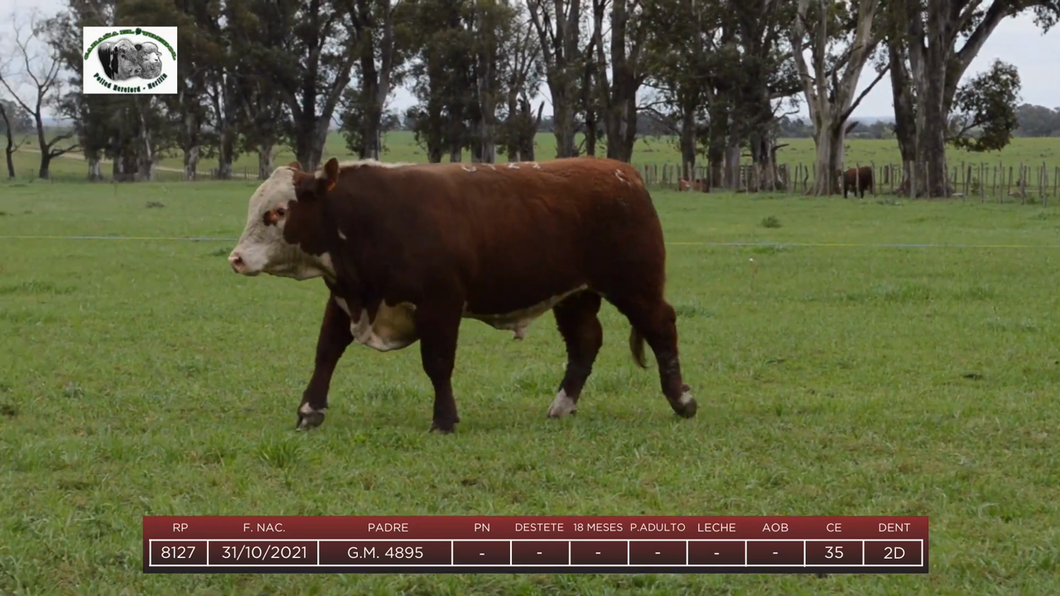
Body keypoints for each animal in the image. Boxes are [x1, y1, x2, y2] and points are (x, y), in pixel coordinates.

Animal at [227, 152, 699, 430]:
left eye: (277, 212)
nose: (236, 258)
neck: (370, 217)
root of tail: (621, 171)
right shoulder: (346, 297)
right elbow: (326, 352)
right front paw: (310, 410)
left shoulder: (441, 303)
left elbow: (437, 363)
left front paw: (444, 419)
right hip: (574, 295)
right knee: (585, 342)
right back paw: (563, 405)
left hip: (634, 283)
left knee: (661, 326)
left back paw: (682, 399)